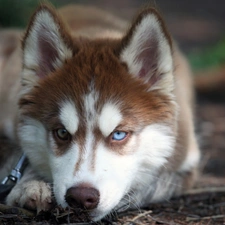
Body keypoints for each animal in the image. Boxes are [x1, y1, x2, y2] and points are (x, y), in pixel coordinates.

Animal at [0, 3, 200, 221]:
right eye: (61, 132)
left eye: (119, 134)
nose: (80, 197)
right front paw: (31, 185)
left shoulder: (186, 161)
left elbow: (155, 183)